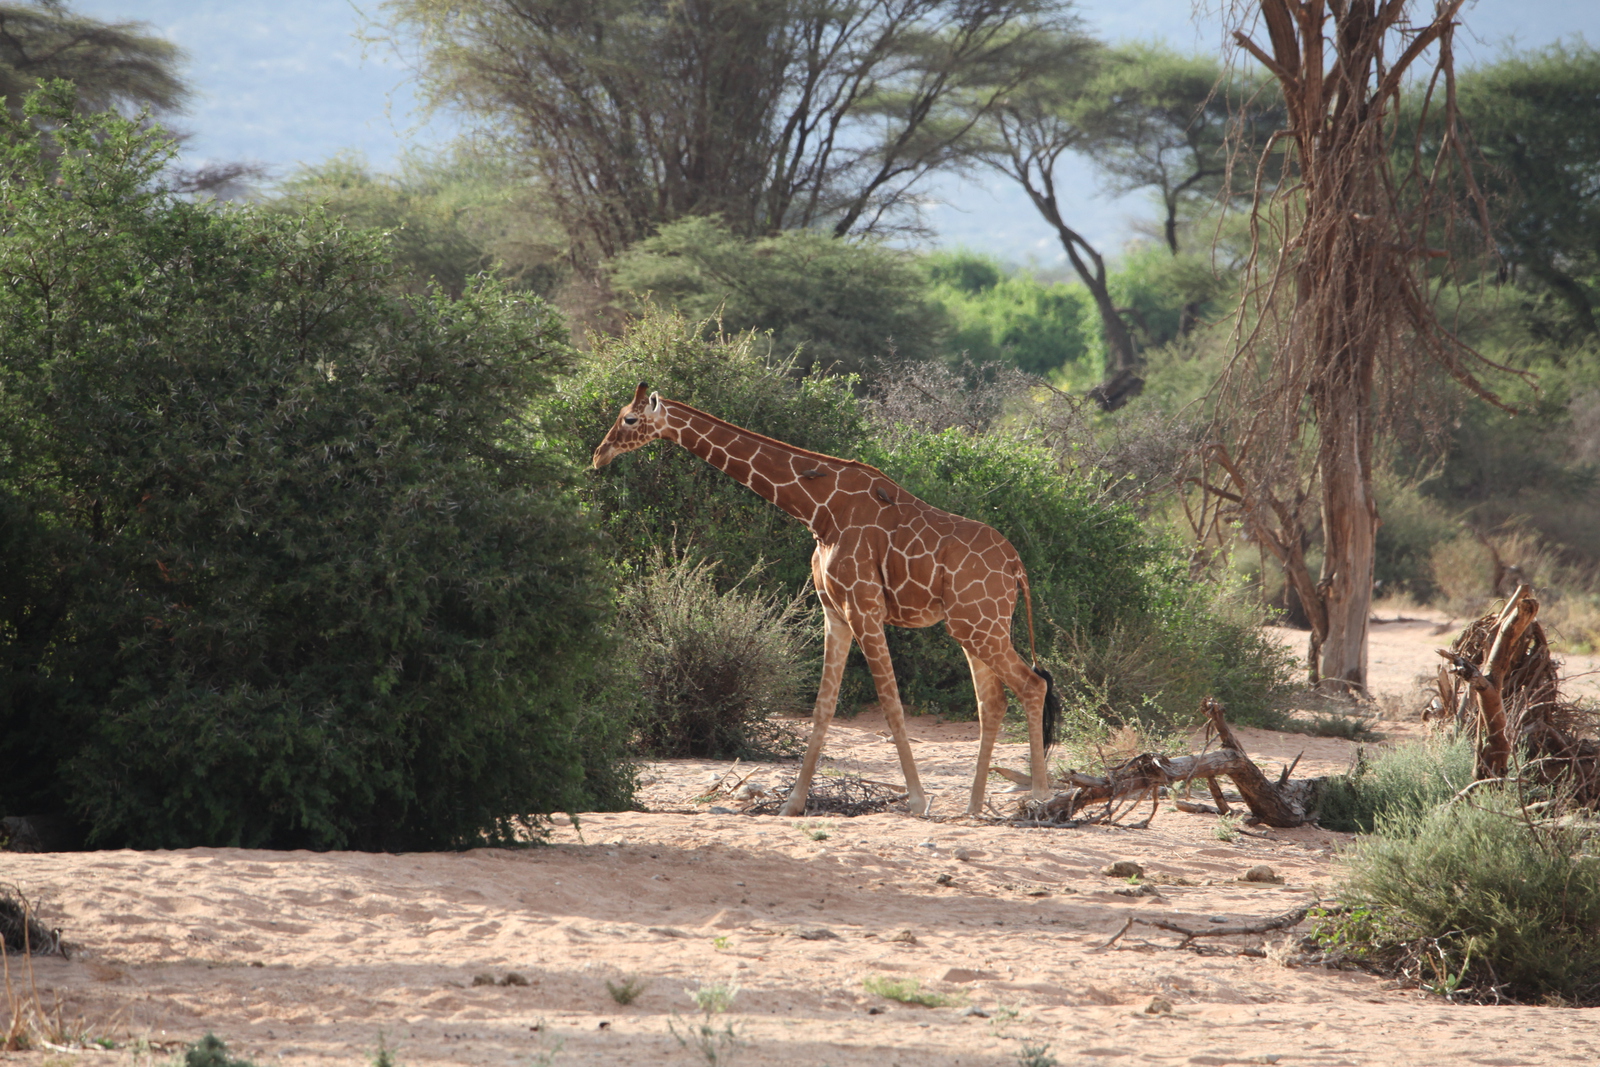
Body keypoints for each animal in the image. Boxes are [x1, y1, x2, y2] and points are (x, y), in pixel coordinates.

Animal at [592, 383, 1062, 819]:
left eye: (629, 418)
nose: (599, 455)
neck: (819, 511)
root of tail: (1017, 566)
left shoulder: (864, 608)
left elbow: (891, 704)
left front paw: (916, 801)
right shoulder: (834, 612)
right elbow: (822, 708)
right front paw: (792, 804)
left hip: (978, 624)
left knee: (1032, 684)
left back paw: (1040, 797)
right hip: (971, 626)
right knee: (993, 702)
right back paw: (974, 807)